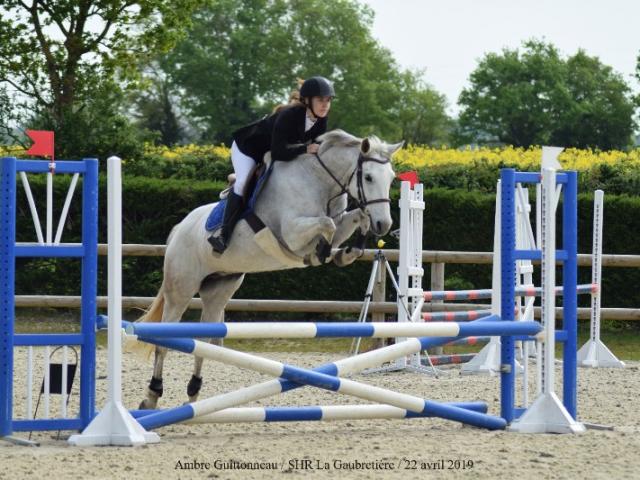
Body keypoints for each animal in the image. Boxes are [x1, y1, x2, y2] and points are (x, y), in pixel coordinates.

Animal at [138, 129, 402, 406]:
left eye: (392, 178)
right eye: (369, 177)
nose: (384, 224)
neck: (319, 181)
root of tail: (179, 229)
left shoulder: (339, 222)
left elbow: (353, 218)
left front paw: (348, 252)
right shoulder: (292, 233)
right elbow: (327, 224)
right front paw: (321, 252)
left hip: (218, 289)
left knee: (204, 341)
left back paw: (193, 394)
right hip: (181, 289)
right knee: (163, 342)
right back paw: (152, 395)